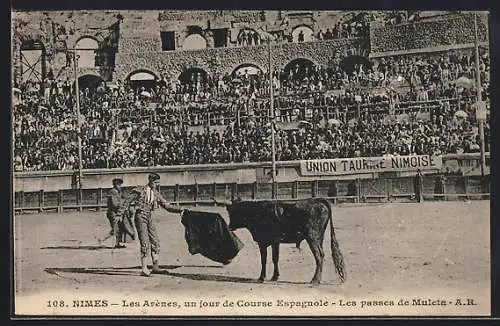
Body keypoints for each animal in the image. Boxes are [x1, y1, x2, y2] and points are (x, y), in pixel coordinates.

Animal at [217, 197, 346, 284]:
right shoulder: (273, 242)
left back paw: (314, 280)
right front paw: (274, 276)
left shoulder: (267, 242)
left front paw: (262, 278)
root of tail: (318, 201)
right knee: (322, 255)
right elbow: (274, 259)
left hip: (312, 237)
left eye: (234, 212)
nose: (229, 227)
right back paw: (318, 279)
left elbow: (267, 259)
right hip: (319, 238)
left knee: (318, 256)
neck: (258, 213)